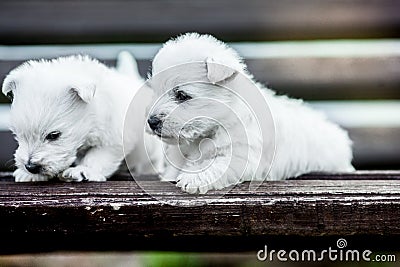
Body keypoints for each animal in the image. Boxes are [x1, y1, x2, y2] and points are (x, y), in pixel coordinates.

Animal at [2, 52, 162, 182]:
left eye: (54, 135)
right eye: (17, 135)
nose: (30, 166)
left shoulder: (114, 138)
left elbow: (98, 156)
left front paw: (84, 171)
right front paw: (28, 174)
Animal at [147, 32, 354, 194]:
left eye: (182, 95)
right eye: (155, 92)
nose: (151, 121)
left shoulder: (242, 155)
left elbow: (219, 164)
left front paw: (195, 177)